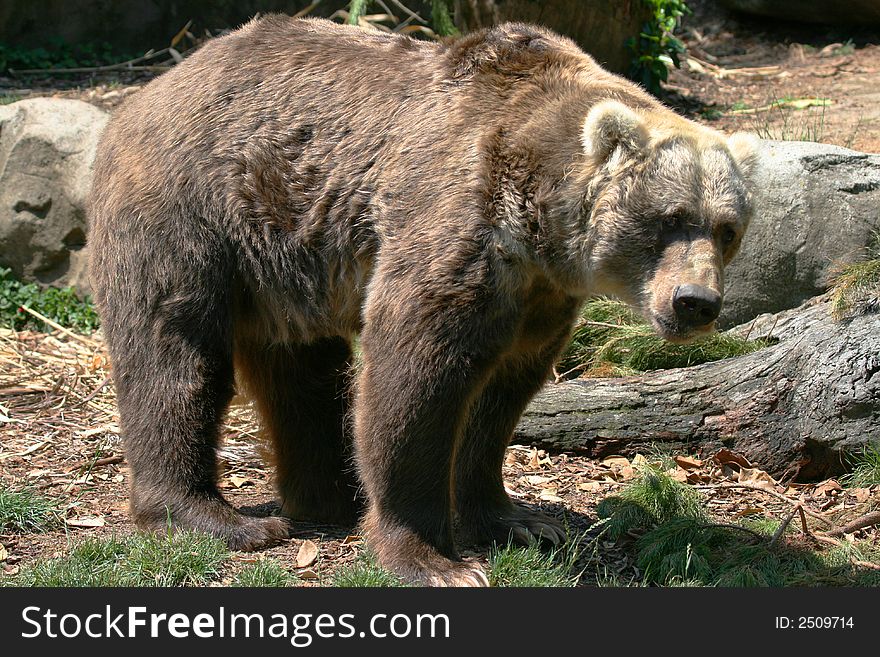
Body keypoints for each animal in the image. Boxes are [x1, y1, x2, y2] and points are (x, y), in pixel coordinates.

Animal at [89, 16, 760, 584]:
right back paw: (213, 516)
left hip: (283, 254)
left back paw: (332, 496)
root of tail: (151, 88)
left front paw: (519, 519)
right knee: (175, 354)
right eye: (668, 219)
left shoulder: (538, 294)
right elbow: (417, 374)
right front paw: (435, 559)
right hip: (190, 209)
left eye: (727, 229)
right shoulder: (460, 221)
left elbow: (501, 394)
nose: (695, 301)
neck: (540, 218)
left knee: (303, 370)